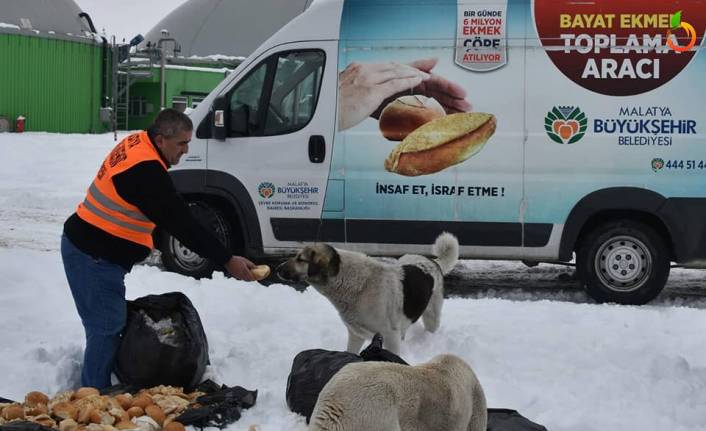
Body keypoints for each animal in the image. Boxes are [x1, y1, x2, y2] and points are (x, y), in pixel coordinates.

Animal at [276, 233, 456, 354]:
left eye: (300, 259)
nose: (277, 269)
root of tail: (433, 261)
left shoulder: (390, 337)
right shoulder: (355, 335)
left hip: (431, 316)